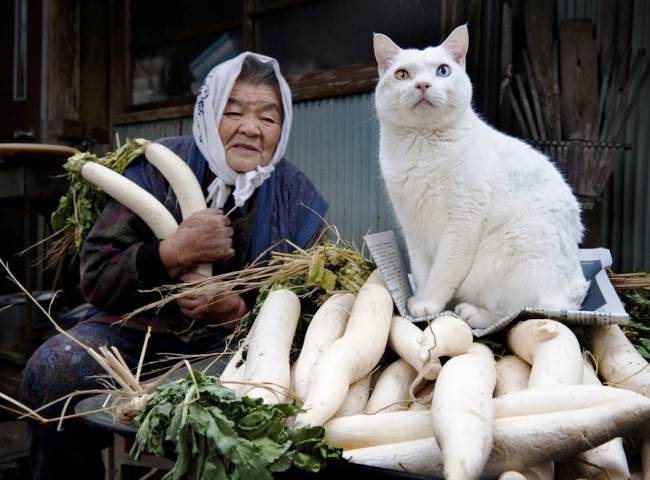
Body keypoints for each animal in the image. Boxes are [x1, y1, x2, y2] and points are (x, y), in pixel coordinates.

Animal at [370, 24, 588, 328]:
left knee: (516, 311)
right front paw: (422, 301)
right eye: (402, 74)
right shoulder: (413, 228)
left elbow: (443, 271)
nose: (423, 85)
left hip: (511, 251)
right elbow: (423, 271)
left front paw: (431, 303)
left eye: (442, 70)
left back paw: (471, 312)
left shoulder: (461, 222)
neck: (423, 147)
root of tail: (576, 292)